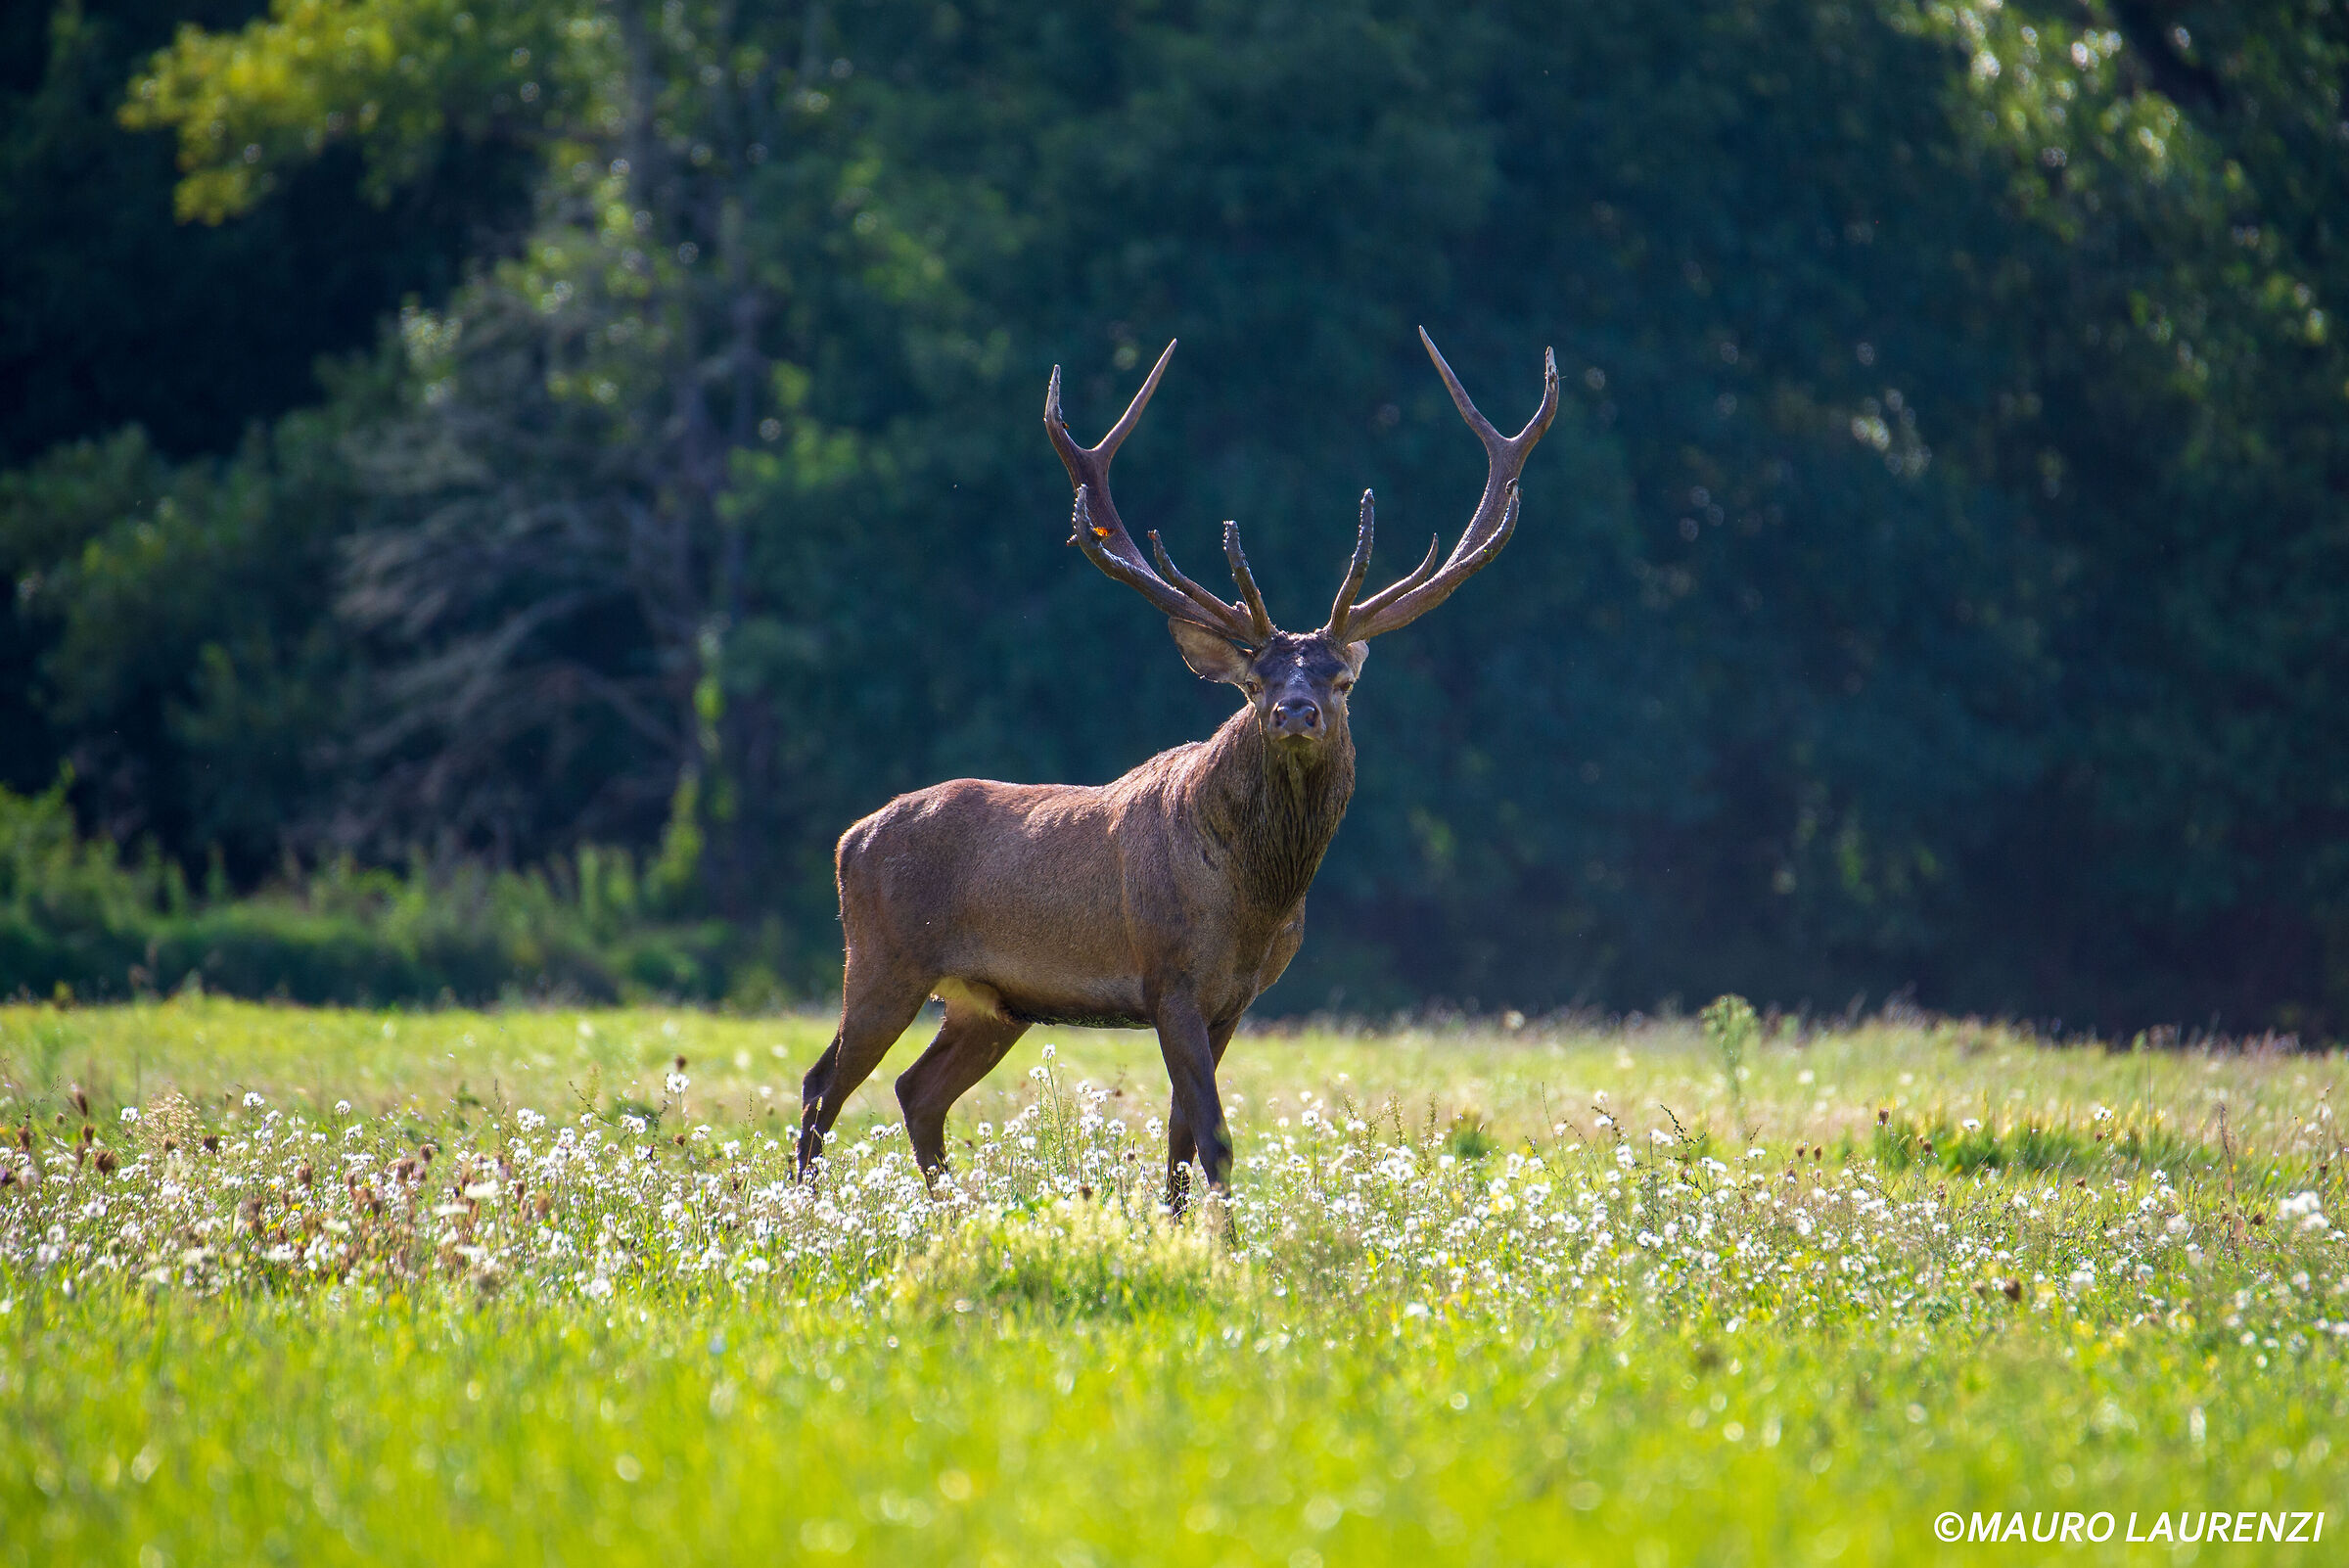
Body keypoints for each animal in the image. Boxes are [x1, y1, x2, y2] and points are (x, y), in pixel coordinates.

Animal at [796, 329, 1557, 1211]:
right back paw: (804, 1216)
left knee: (916, 1090)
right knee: (822, 1085)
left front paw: (1179, 1225)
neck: (1257, 900)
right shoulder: (1170, 978)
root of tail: (848, 839)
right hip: (882, 958)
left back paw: (950, 1215)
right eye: (1254, 682)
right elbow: (1215, 1136)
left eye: (1342, 680)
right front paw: (1219, 1238)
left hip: (992, 1004)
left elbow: (1181, 1139)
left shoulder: (1238, 998)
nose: (1295, 712)